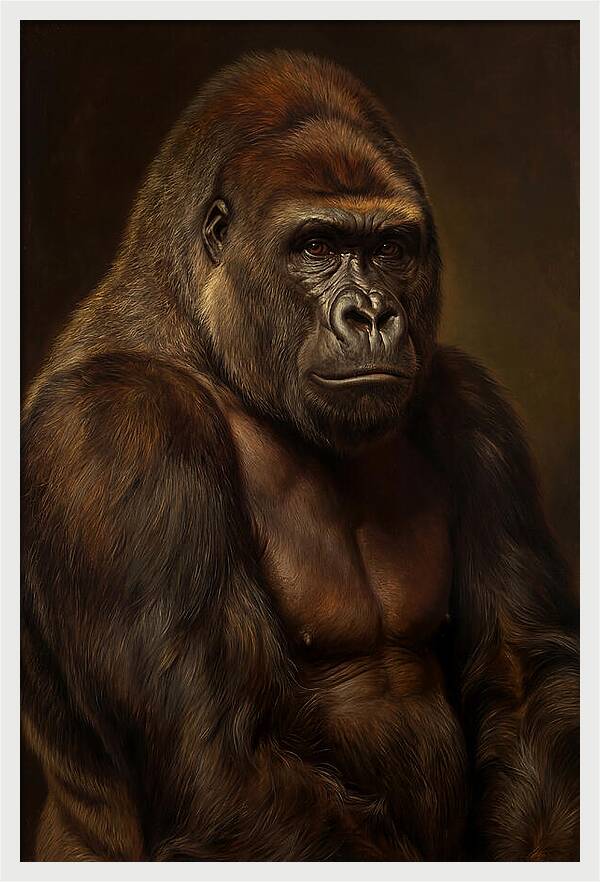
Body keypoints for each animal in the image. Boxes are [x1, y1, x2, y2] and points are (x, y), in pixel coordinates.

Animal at [21, 50, 579, 861]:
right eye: (316, 246)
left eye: (389, 248)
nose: (372, 315)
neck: (207, 342)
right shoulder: (118, 428)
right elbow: (220, 760)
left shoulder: (472, 407)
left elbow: (524, 678)